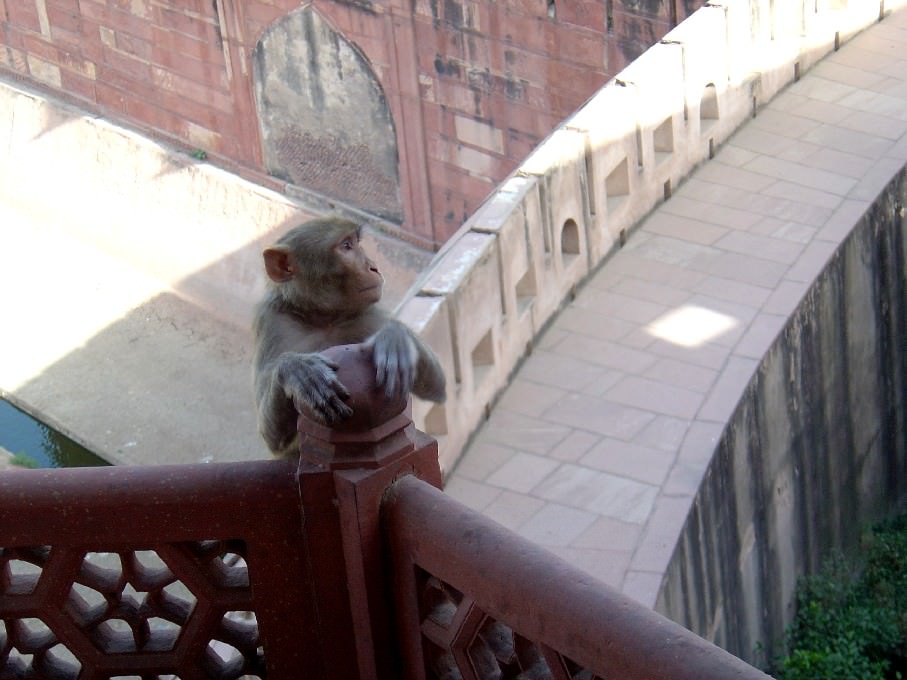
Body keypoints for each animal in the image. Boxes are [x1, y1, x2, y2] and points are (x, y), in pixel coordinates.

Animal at [252, 215, 446, 454]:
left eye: (355, 242)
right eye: (346, 246)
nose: (373, 267)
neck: (325, 319)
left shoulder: (368, 315)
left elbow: (438, 385)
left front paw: (394, 338)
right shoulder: (273, 322)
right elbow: (273, 440)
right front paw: (296, 369)